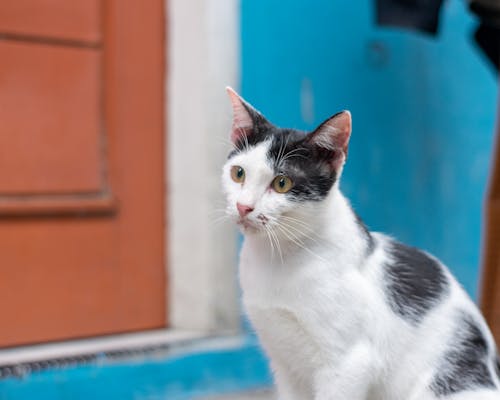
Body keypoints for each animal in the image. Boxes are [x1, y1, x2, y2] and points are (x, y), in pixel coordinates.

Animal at [221, 88, 500, 400]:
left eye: (282, 183)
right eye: (238, 173)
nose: (243, 207)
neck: (277, 256)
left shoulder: (349, 363)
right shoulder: (285, 365)